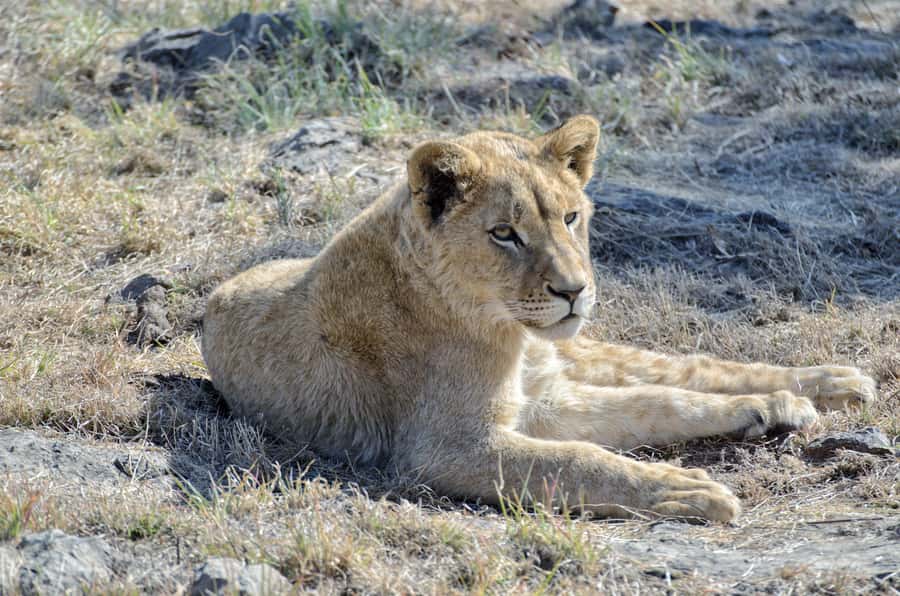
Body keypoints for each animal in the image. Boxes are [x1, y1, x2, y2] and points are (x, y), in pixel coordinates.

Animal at [202, 115, 877, 522]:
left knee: (686, 367)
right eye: (505, 233)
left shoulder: (536, 399)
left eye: (571, 217)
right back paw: (784, 404)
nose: (574, 291)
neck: (506, 332)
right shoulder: (447, 449)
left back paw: (819, 386)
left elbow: (657, 403)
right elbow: (581, 455)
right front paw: (680, 489)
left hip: (582, 350)